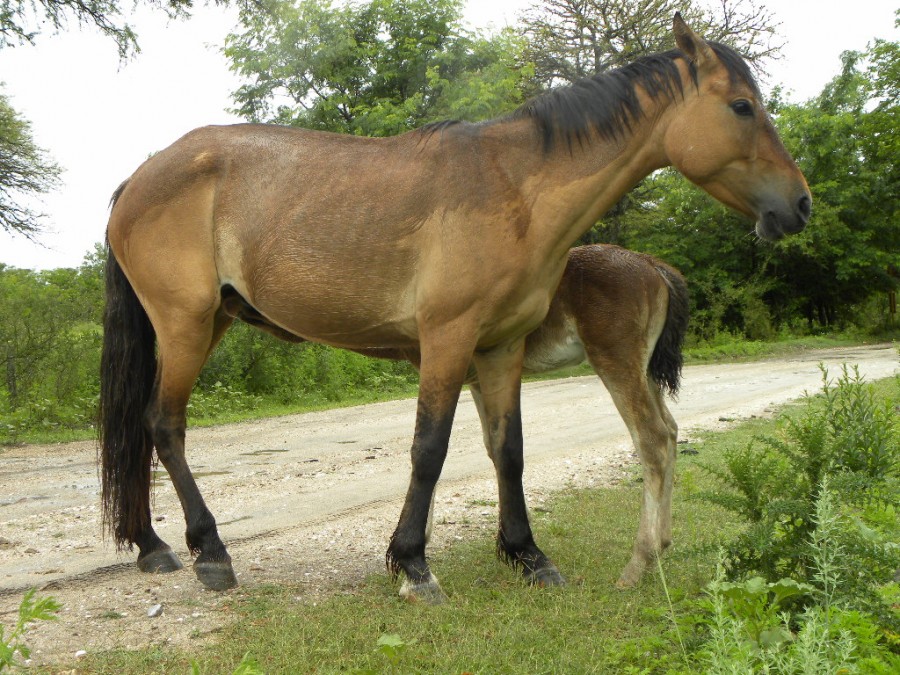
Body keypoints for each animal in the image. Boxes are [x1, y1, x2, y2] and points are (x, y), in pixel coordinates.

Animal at [98, 13, 808, 600]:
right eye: (742, 106)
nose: (798, 204)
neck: (515, 190)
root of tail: (140, 177)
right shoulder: (447, 340)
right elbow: (429, 448)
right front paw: (413, 565)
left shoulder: (500, 347)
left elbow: (508, 449)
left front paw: (527, 555)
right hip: (185, 325)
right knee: (164, 425)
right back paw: (210, 552)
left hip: (207, 322)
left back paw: (153, 546)